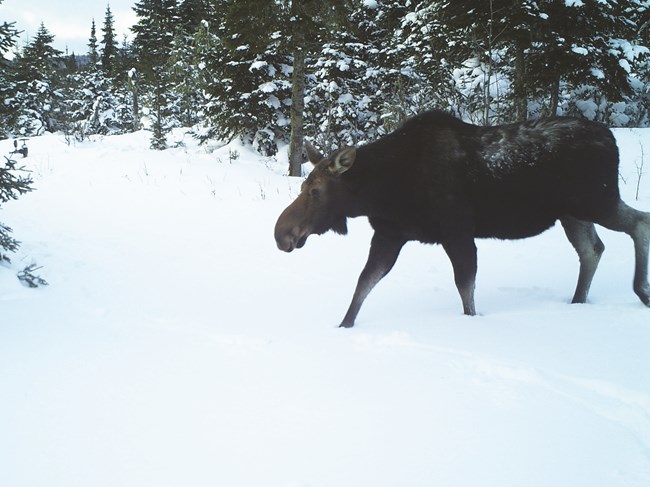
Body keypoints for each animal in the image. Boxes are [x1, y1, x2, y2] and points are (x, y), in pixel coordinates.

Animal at [274, 110, 650, 327]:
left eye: (316, 191)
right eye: (304, 185)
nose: (281, 234)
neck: (383, 190)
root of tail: (610, 137)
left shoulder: (456, 231)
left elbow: (465, 287)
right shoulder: (390, 234)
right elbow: (363, 283)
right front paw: (343, 327)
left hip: (595, 201)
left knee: (638, 223)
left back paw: (639, 291)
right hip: (573, 212)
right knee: (592, 249)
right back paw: (577, 302)